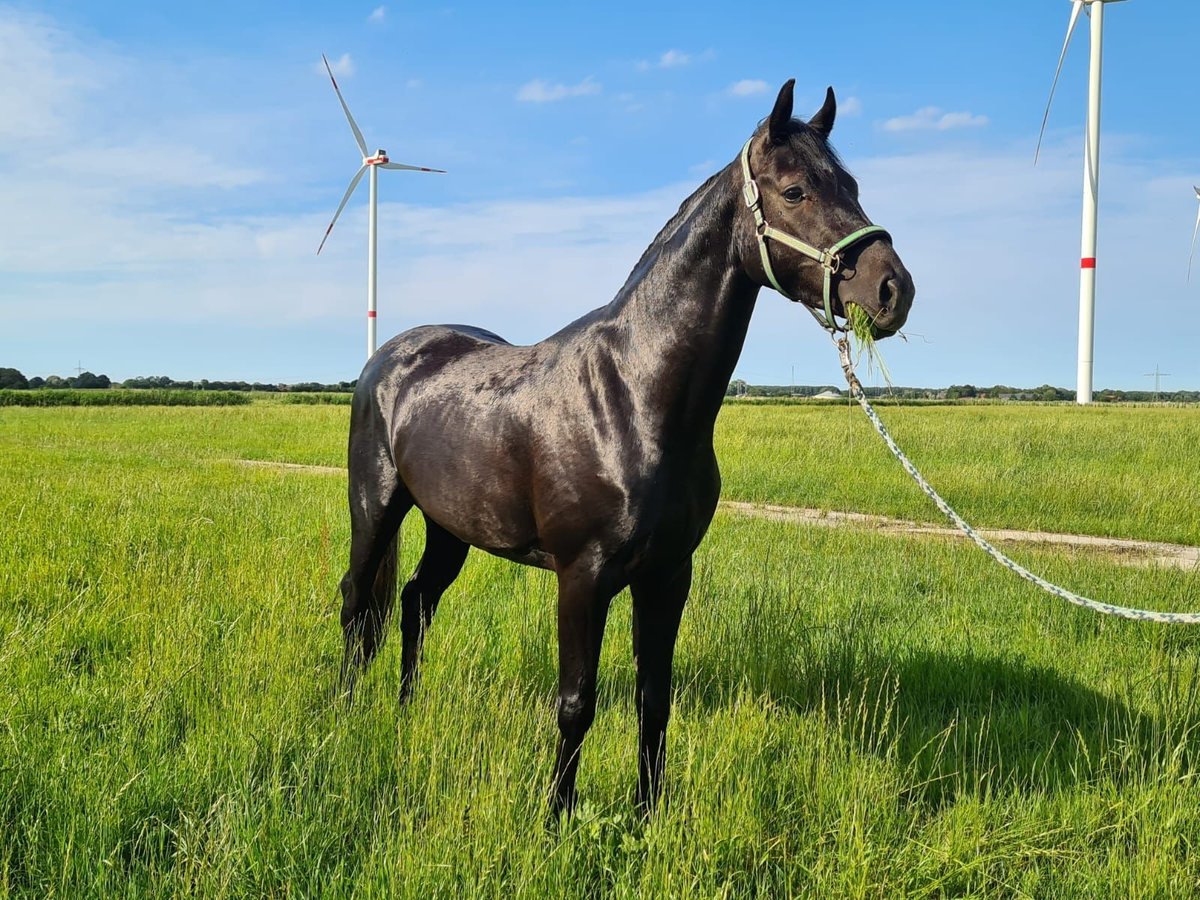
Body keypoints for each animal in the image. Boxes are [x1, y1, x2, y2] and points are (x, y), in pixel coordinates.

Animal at [333, 82, 912, 816]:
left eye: (853, 185)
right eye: (795, 190)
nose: (893, 289)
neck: (633, 398)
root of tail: (389, 357)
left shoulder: (667, 575)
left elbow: (653, 700)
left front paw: (647, 813)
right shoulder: (584, 578)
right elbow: (576, 704)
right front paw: (556, 816)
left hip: (450, 527)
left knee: (412, 603)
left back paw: (406, 711)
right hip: (376, 508)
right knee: (357, 604)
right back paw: (343, 713)